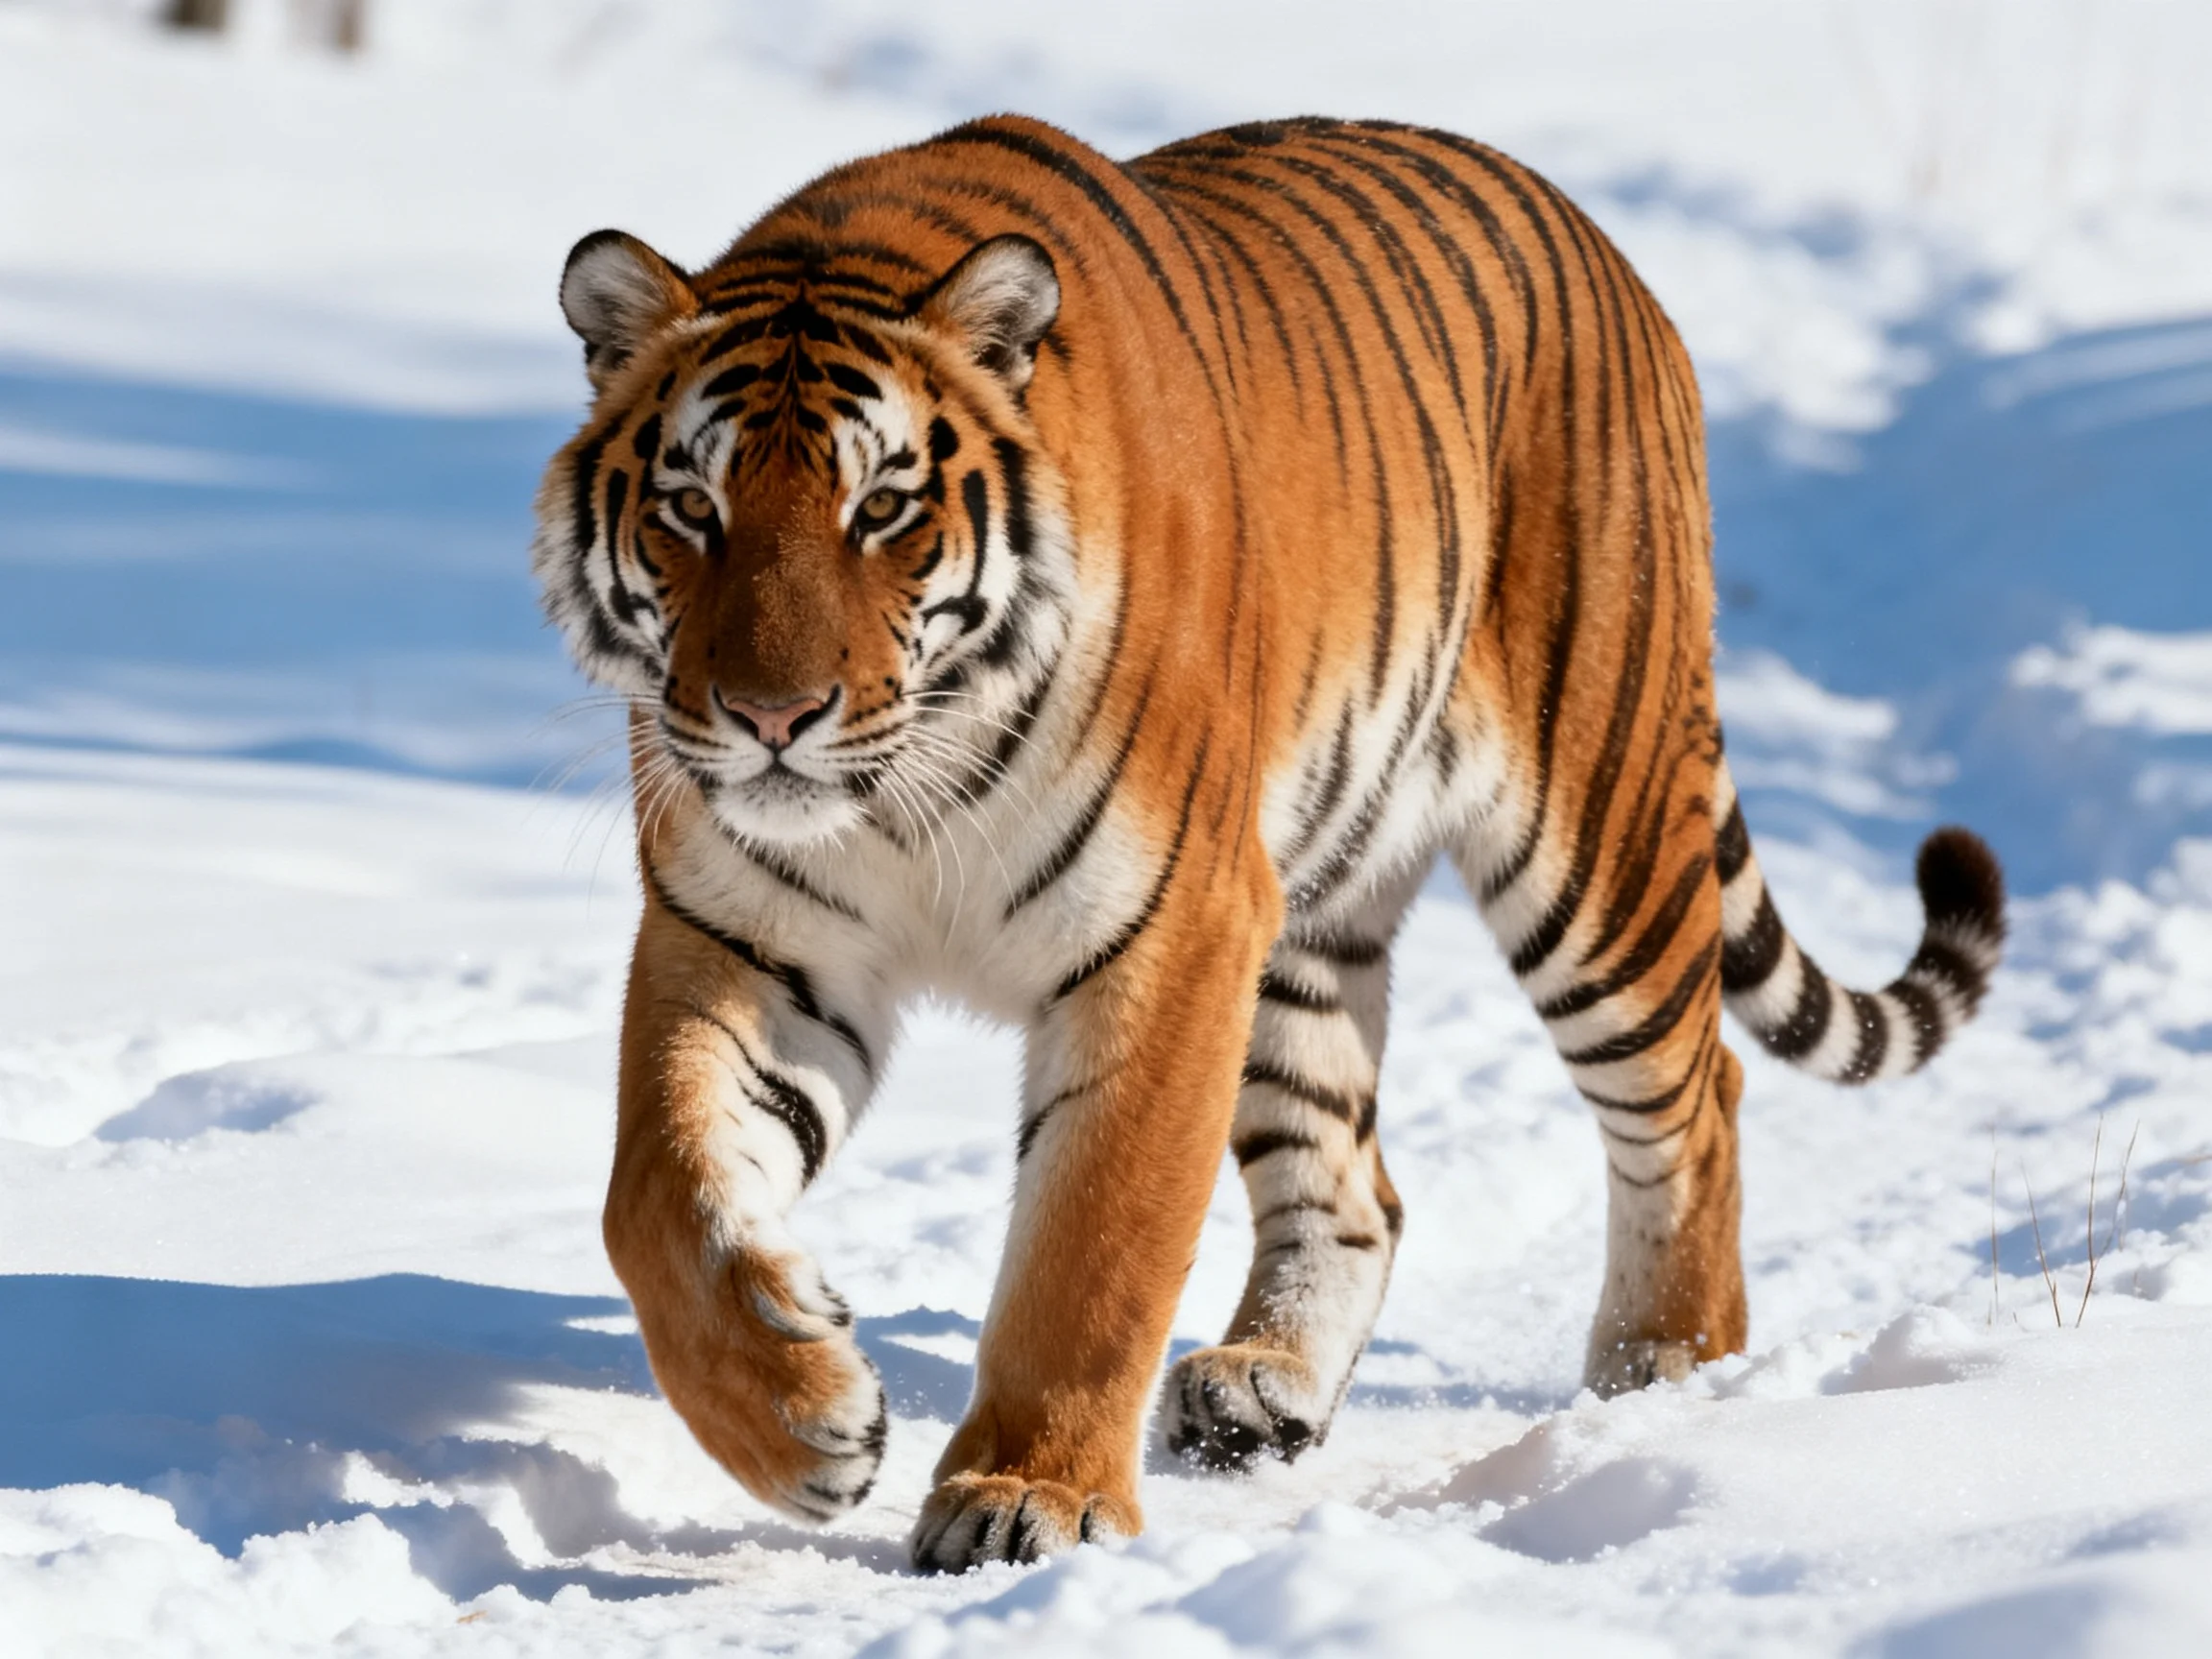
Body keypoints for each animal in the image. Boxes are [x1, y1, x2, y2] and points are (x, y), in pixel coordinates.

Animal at [532, 113, 2005, 1574]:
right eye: (693, 509)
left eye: (882, 509)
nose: (771, 717)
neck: (904, 796)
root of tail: (1600, 246)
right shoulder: (749, 938)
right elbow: (653, 1191)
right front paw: (803, 1420)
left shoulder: (1169, 930)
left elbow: (1097, 1238)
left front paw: (1028, 1494)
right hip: (1307, 916)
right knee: (1354, 1177)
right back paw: (1266, 1385)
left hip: (1599, 844)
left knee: (1699, 1101)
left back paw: (1665, 1374)